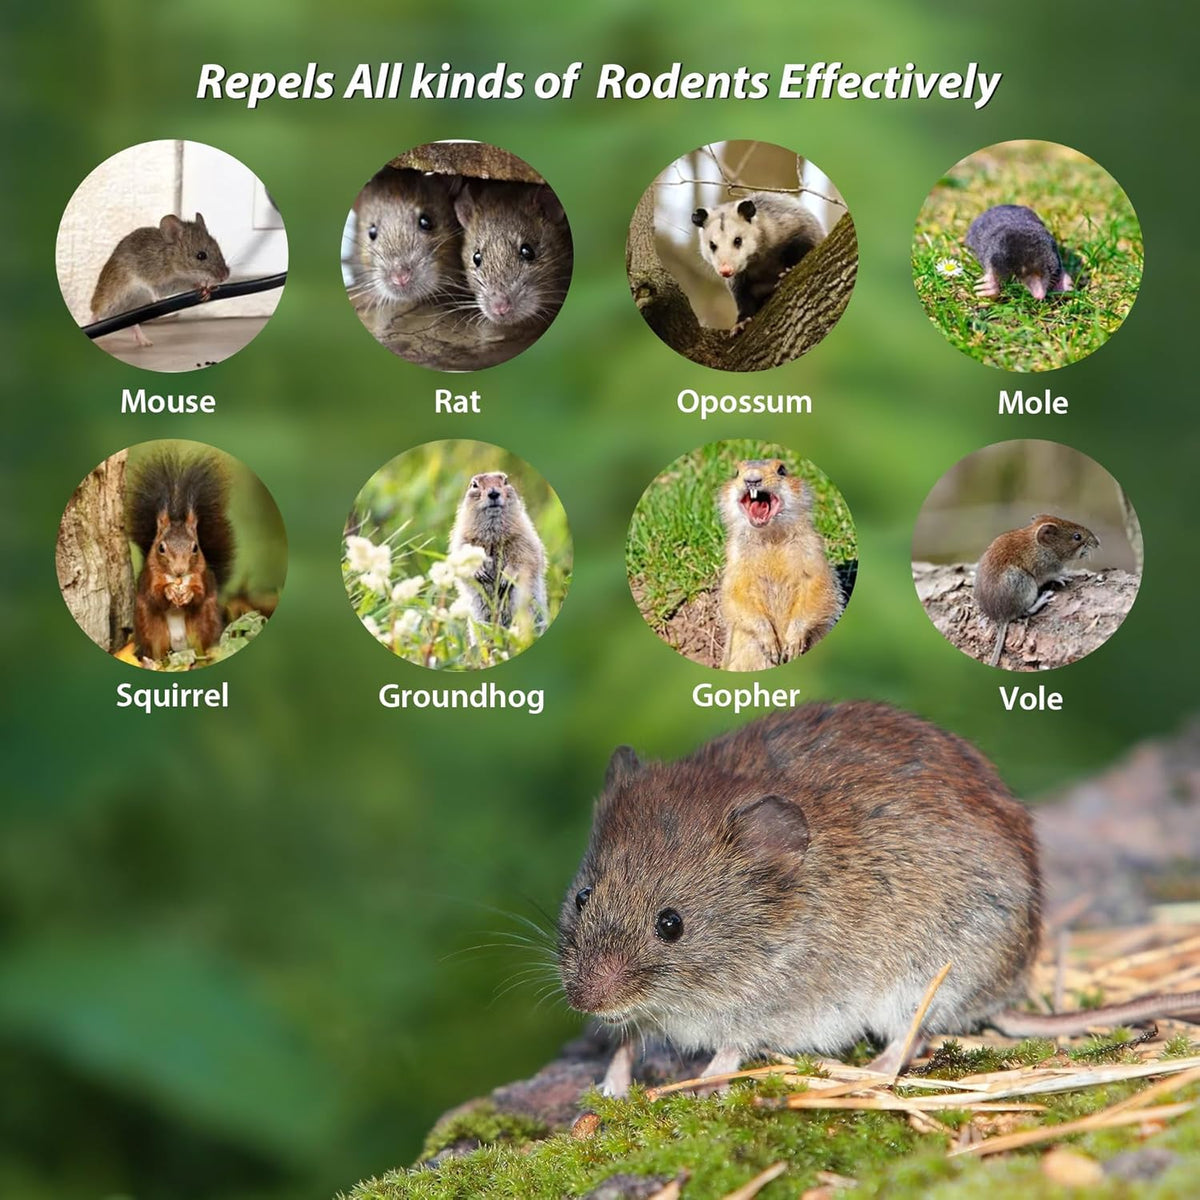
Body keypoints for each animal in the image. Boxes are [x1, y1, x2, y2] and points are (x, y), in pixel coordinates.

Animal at [127, 450, 235, 665]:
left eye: (195, 547)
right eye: (161, 548)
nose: (179, 570)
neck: (177, 579)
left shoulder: (201, 576)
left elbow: (200, 594)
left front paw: (188, 594)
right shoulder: (151, 577)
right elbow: (154, 595)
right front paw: (169, 591)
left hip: (203, 624)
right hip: (151, 628)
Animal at [449, 472, 548, 638]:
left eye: (506, 481)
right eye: (474, 484)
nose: (494, 493)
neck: (493, 535)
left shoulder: (523, 538)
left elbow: (524, 558)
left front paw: (505, 578)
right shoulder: (463, 540)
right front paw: (480, 573)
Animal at [719, 459, 843, 670]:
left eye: (782, 470)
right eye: (736, 472)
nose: (752, 479)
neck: (770, 536)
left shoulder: (811, 549)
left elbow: (817, 587)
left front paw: (792, 644)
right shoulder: (736, 557)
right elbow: (736, 594)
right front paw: (771, 645)